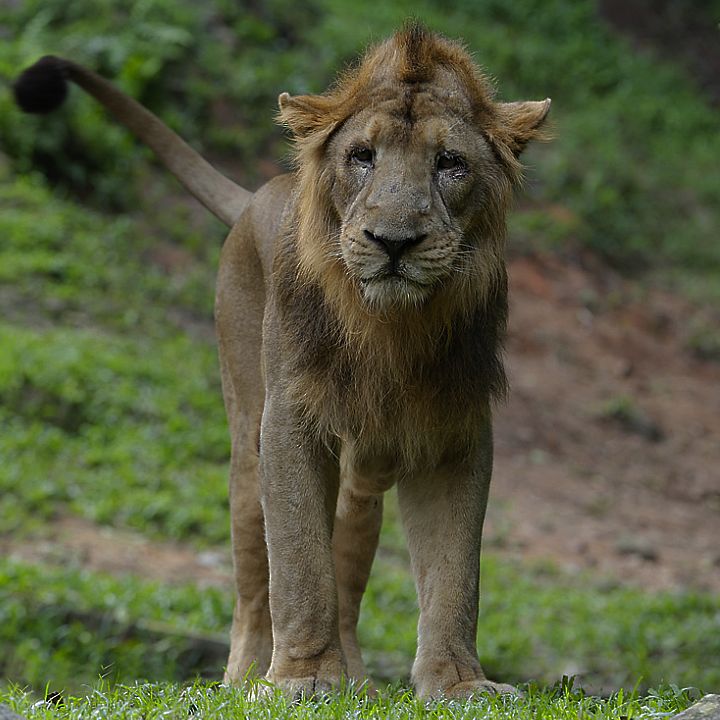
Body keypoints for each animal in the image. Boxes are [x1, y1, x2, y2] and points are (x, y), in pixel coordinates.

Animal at [14, 25, 550, 699]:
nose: (394, 242)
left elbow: (454, 575)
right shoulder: (290, 419)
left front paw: (458, 684)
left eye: (450, 164)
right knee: (252, 590)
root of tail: (256, 195)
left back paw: (357, 682)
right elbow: (298, 564)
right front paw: (303, 677)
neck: (392, 331)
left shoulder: (457, 431)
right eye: (363, 156)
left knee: (347, 573)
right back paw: (245, 679)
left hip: (365, 475)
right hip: (247, 446)